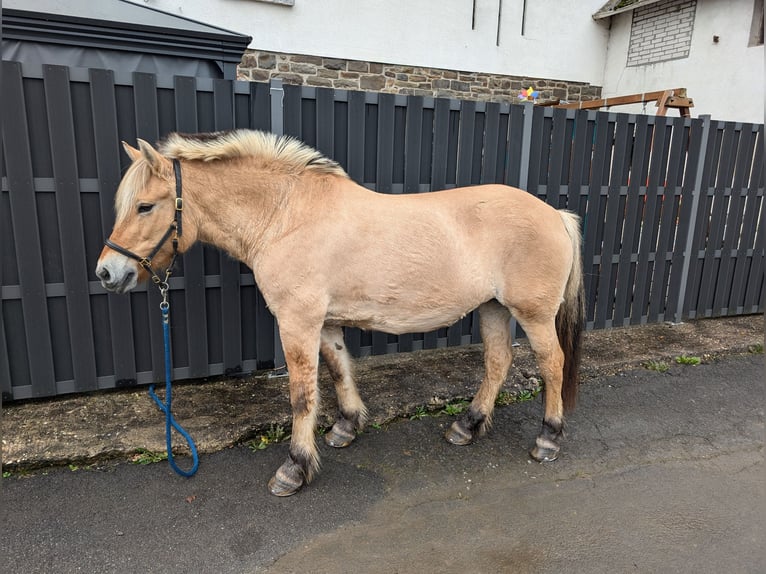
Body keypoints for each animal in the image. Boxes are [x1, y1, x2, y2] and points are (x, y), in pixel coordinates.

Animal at [96, 128, 588, 498]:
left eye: (145, 206)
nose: (107, 272)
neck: (285, 216)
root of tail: (556, 214)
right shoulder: (325, 321)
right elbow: (337, 371)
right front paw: (346, 428)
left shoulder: (297, 322)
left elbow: (302, 394)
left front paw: (295, 468)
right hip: (492, 308)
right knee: (498, 362)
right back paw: (467, 426)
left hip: (533, 314)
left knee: (552, 364)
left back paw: (548, 437)